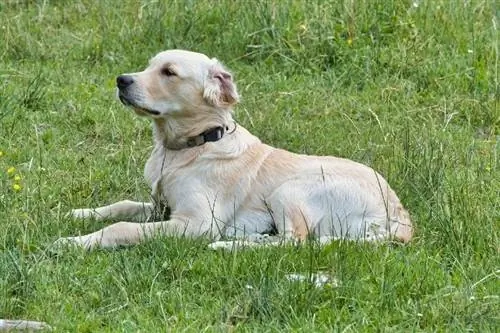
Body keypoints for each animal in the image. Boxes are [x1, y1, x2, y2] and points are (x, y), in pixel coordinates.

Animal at [53, 48, 414, 248]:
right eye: (149, 65)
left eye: (169, 72)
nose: (121, 80)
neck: (189, 146)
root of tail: (400, 216)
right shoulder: (160, 208)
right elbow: (122, 206)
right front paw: (79, 214)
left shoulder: (197, 222)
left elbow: (122, 228)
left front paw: (74, 242)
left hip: (289, 189)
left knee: (296, 243)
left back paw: (228, 245)